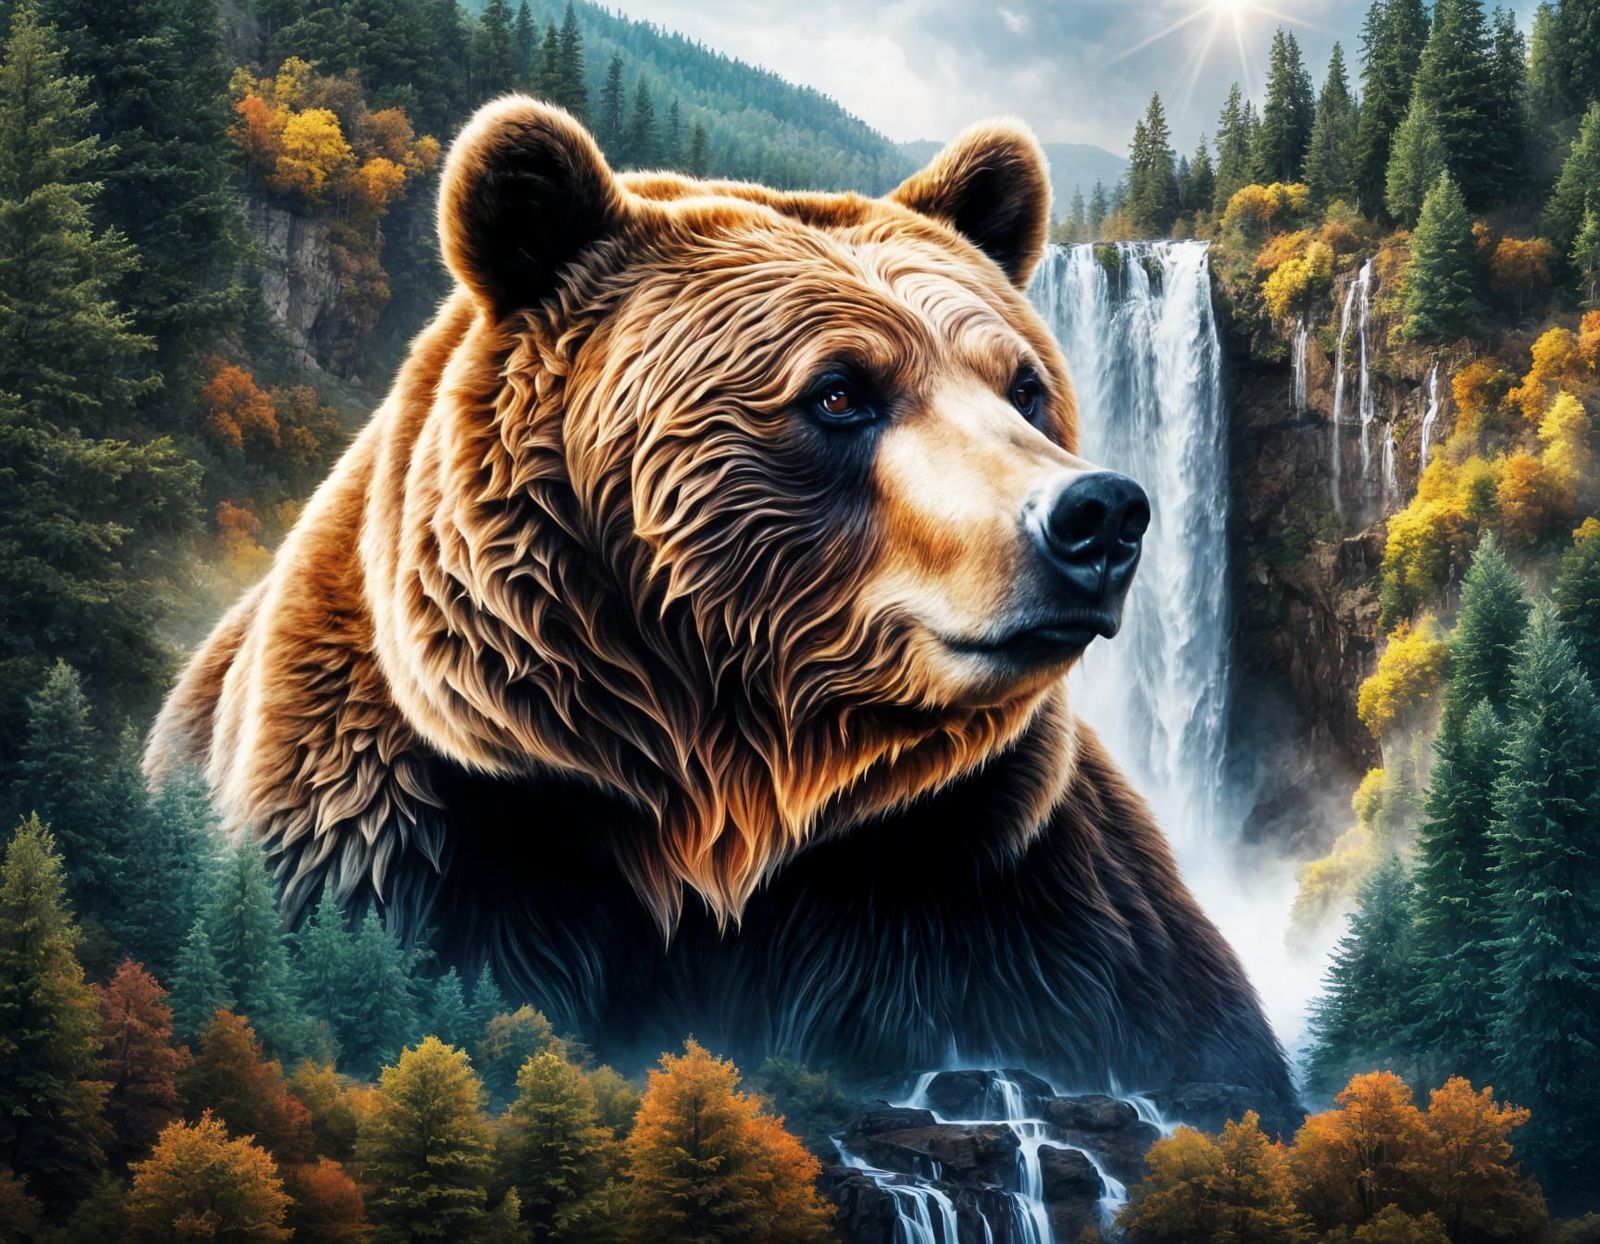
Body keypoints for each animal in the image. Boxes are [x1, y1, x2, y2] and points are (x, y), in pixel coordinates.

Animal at [147, 96, 1296, 1115]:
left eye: (1022, 388)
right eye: (839, 391)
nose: (1099, 515)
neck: (724, 791)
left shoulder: (1001, 889)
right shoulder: (399, 837)